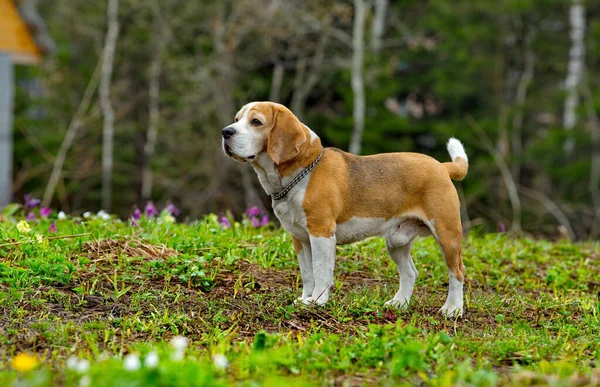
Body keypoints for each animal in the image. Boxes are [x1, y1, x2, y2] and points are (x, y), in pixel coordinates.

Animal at [221, 101, 468, 316]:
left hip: (447, 235)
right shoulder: (299, 238)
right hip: (397, 241)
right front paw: (305, 298)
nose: (225, 132)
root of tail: (442, 167)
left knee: (457, 272)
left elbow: (321, 271)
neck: (301, 173)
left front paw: (318, 300)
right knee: (410, 273)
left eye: (256, 122)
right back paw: (400, 303)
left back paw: (453, 309)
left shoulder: (321, 233)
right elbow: (307, 273)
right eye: (237, 119)